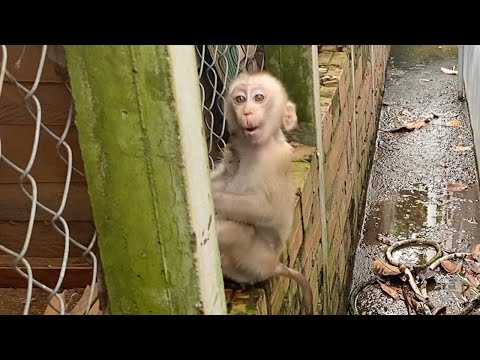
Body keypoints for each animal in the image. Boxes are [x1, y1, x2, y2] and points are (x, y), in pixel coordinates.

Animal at [212, 71, 314, 316]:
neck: (253, 148)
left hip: (254, 262)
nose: (247, 111)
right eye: (240, 99)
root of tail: (275, 265)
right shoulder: (234, 149)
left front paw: (210, 197)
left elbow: (266, 210)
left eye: (258, 98)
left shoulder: (274, 161)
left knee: (234, 230)